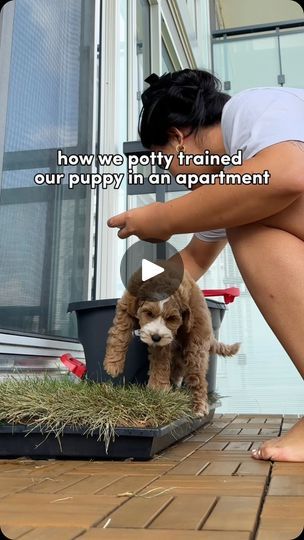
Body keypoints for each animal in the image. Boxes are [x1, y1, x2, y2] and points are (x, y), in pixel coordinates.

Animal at [104, 266, 240, 418]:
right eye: (149, 313)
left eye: (171, 319)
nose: (155, 337)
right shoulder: (127, 304)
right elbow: (120, 332)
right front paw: (113, 364)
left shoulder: (165, 338)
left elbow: (160, 359)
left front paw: (159, 387)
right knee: (177, 368)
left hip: (196, 344)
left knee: (197, 377)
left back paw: (199, 406)